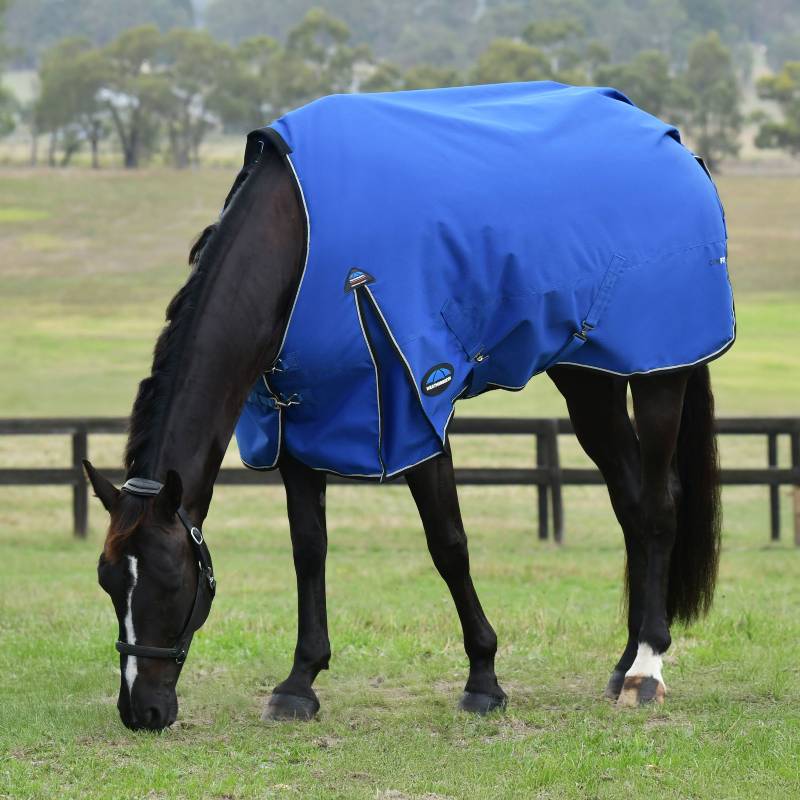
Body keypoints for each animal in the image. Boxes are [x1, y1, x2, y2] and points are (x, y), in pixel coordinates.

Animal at [84, 84, 729, 731]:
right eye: (109, 583)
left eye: (169, 582)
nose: (141, 710)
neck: (299, 243)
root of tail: (677, 147)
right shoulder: (296, 421)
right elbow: (308, 547)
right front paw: (300, 681)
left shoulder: (415, 408)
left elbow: (448, 544)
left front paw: (483, 678)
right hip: (590, 378)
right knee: (630, 504)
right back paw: (624, 663)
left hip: (658, 375)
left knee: (658, 506)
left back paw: (647, 668)